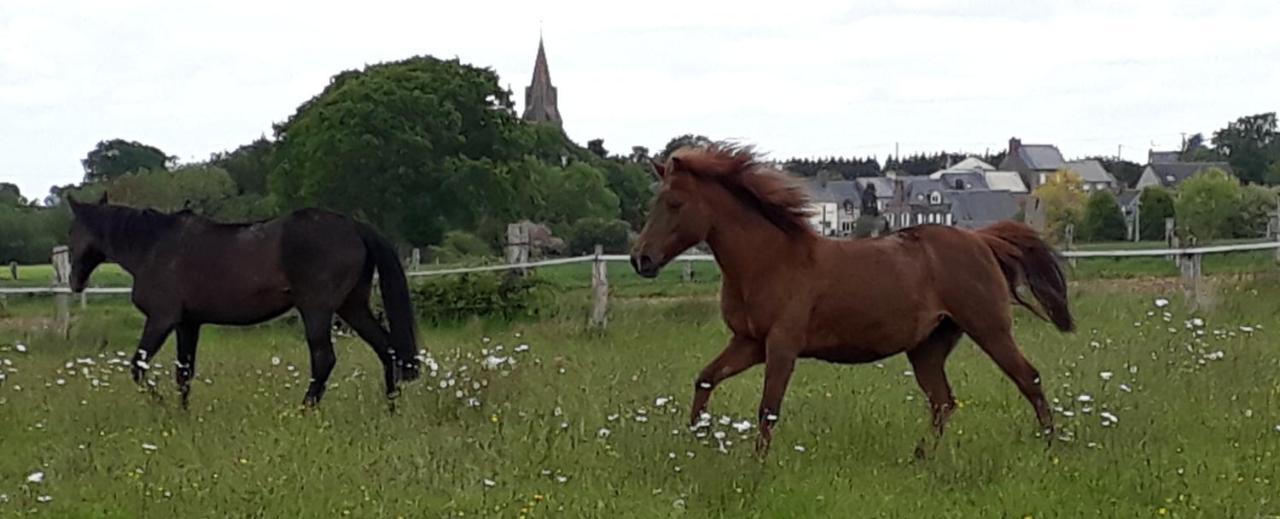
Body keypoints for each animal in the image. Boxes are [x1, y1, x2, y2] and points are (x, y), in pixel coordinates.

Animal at [66, 192, 419, 407]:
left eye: (71, 233)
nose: (74, 282)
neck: (152, 246)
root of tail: (354, 226)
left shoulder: (161, 319)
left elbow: (138, 367)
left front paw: (161, 405)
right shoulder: (187, 323)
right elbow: (183, 373)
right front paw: (181, 415)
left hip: (317, 310)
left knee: (324, 359)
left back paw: (304, 410)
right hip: (353, 306)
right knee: (387, 350)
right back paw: (391, 407)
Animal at [629, 143, 1070, 451]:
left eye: (674, 203)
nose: (640, 259)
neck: (768, 261)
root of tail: (981, 239)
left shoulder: (782, 346)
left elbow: (768, 409)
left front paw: (757, 465)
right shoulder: (749, 342)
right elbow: (704, 380)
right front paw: (695, 440)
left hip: (989, 328)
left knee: (1028, 378)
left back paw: (1050, 446)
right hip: (928, 346)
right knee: (943, 402)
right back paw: (922, 456)